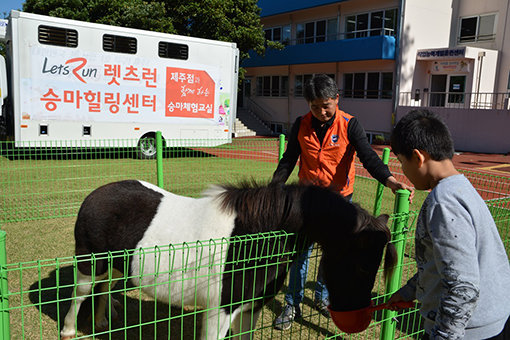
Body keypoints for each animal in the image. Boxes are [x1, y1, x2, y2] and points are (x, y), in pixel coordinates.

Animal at [58, 179, 394, 338]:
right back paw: (70, 330)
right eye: (362, 265)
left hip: (115, 264)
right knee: (81, 293)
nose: (359, 321)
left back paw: (102, 322)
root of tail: (95, 194)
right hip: (89, 262)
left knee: (104, 287)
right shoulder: (219, 312)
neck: (254, 238)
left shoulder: (250, 309)